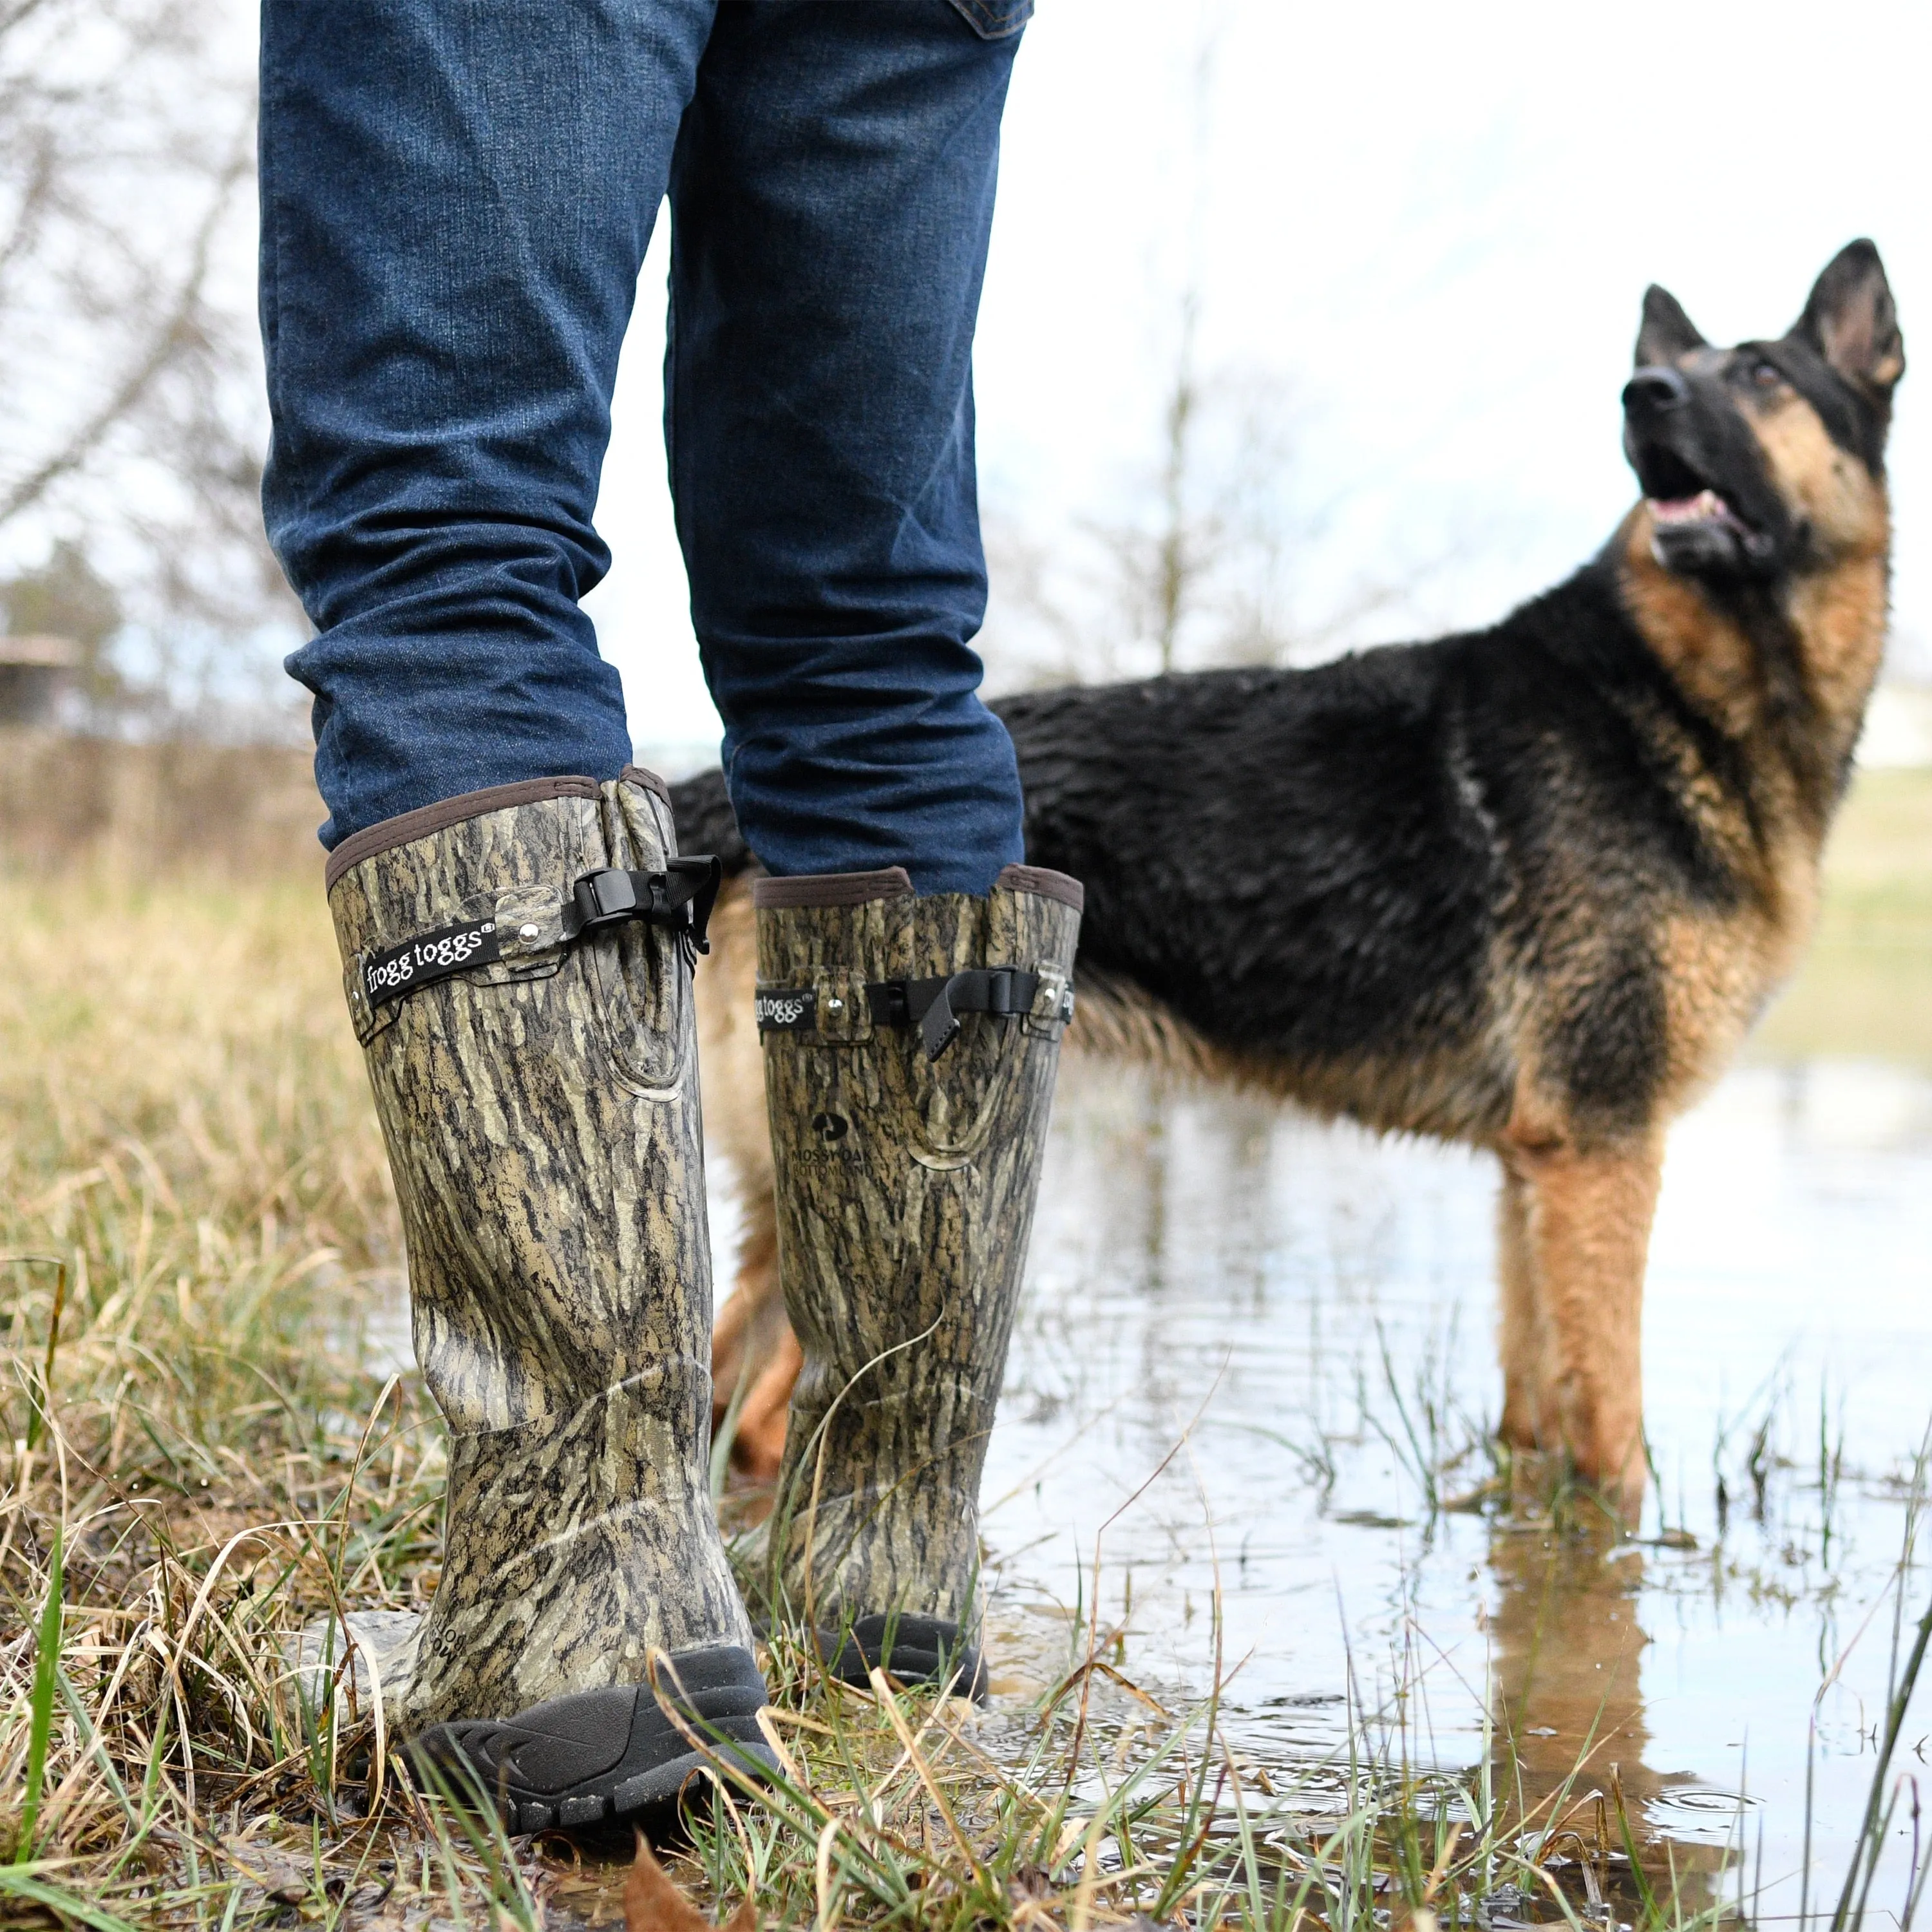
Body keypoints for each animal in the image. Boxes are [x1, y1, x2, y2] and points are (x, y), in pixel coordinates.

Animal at [676, 242, 1901, 1515]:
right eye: (1681, 373)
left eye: (1762, 376)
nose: (1642, 396)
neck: (1673, 691)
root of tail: (735, 792)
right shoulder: (1605, 1153)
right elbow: (1614, 1444)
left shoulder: (1538, 1172)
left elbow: (1537, 1428)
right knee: (749, 1411)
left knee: (734, 1398)